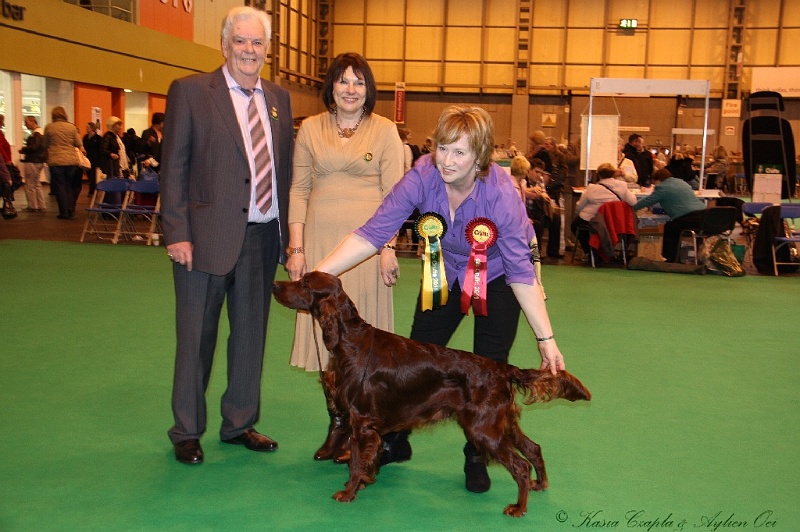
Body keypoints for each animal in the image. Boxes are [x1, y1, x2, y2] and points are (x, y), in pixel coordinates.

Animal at [272, 272, 592, 516]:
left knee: (520, 466)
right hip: (502, 423)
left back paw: (518, 507)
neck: (350, 340)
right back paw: (540, 484)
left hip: (483, 429)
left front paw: (349, 492)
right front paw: (365, 481)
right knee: (534, 449)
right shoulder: (368, 426)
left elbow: (354, 463)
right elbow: (364, 461)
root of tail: (502, 369)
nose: (275, 285)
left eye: (304, 283)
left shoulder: (361, 421)